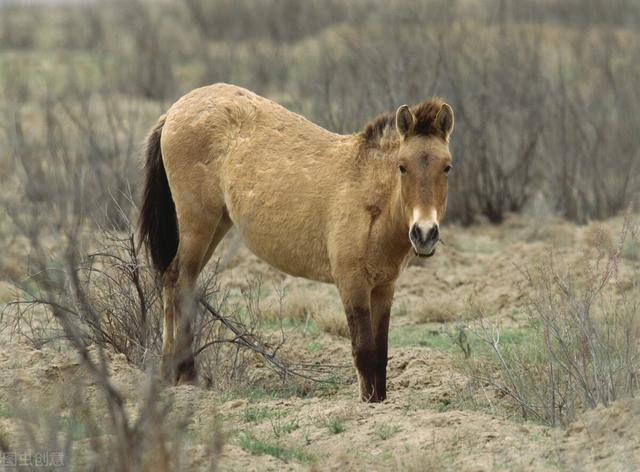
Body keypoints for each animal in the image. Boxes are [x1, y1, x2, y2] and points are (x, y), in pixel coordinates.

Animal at [139, 84, 456, 402]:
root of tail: (176, 110)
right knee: (183, 284)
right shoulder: (352, 285)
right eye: (402, 167)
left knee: (172, 278)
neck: (371, 199)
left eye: (447, 167)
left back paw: (167, 372)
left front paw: (378, 403)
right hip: (198, 225)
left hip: (216, 225)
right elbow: (364, 352)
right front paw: (366, 405)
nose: (424, 233)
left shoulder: (383, 288)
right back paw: (187, 375)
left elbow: (380, 354)